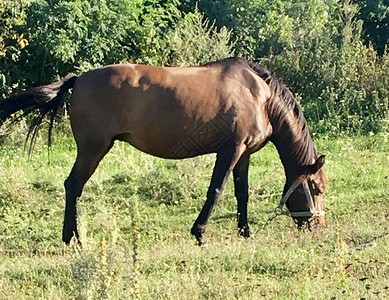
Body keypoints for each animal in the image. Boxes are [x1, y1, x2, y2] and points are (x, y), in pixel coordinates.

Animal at [0, 57, 326, 245]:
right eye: (317, 189)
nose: (318, 225)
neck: (259, 95)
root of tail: (78, 79)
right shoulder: (230, 150)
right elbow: (216, 190)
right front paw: (200, 232)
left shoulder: (244, 154)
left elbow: (241, 193)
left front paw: (244, 232)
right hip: (93, 149)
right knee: (73, 186)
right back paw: (72, 238)